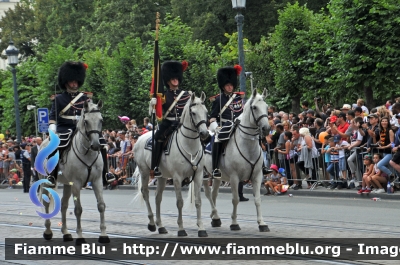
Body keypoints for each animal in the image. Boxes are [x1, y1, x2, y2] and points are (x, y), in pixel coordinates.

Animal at [38, 100, 109, 244]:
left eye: (101, 120)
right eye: (86, 121)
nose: (96, 145)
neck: (87, 153)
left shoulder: (97, 181)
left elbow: (101, 205)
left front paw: (103, 234)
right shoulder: (76, 183)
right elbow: (78, 209)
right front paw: (80, 236)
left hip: (67, 184)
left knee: (64, 205)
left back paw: (66, 233)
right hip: (47, 181)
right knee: (47, 202)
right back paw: (48, 232)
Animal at [134, 92, 209, 236]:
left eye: (206, 112)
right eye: (193, 113)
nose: (205, 133)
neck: (189, 145)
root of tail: (140, 138)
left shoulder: (198, 175)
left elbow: (198, 201)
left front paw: (201, 228)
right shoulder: (177, 178)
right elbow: (179, 202)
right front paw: (181, 229)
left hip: (162, 177)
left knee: (158, 197)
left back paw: (161, 226)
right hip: (145, 171)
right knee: (145, 192)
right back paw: (152, 223)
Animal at [205, 88, 270, 231]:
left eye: (266, 107)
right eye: (254, 107)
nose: (266, 129)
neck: (247, 146)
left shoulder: (257, 176)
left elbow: (257, 199)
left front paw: (262, 223)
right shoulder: (234, 178)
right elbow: (235, 199)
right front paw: (234, 223)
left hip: (217, 177)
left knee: (213, 194)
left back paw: (215, 218)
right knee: (207, 194)